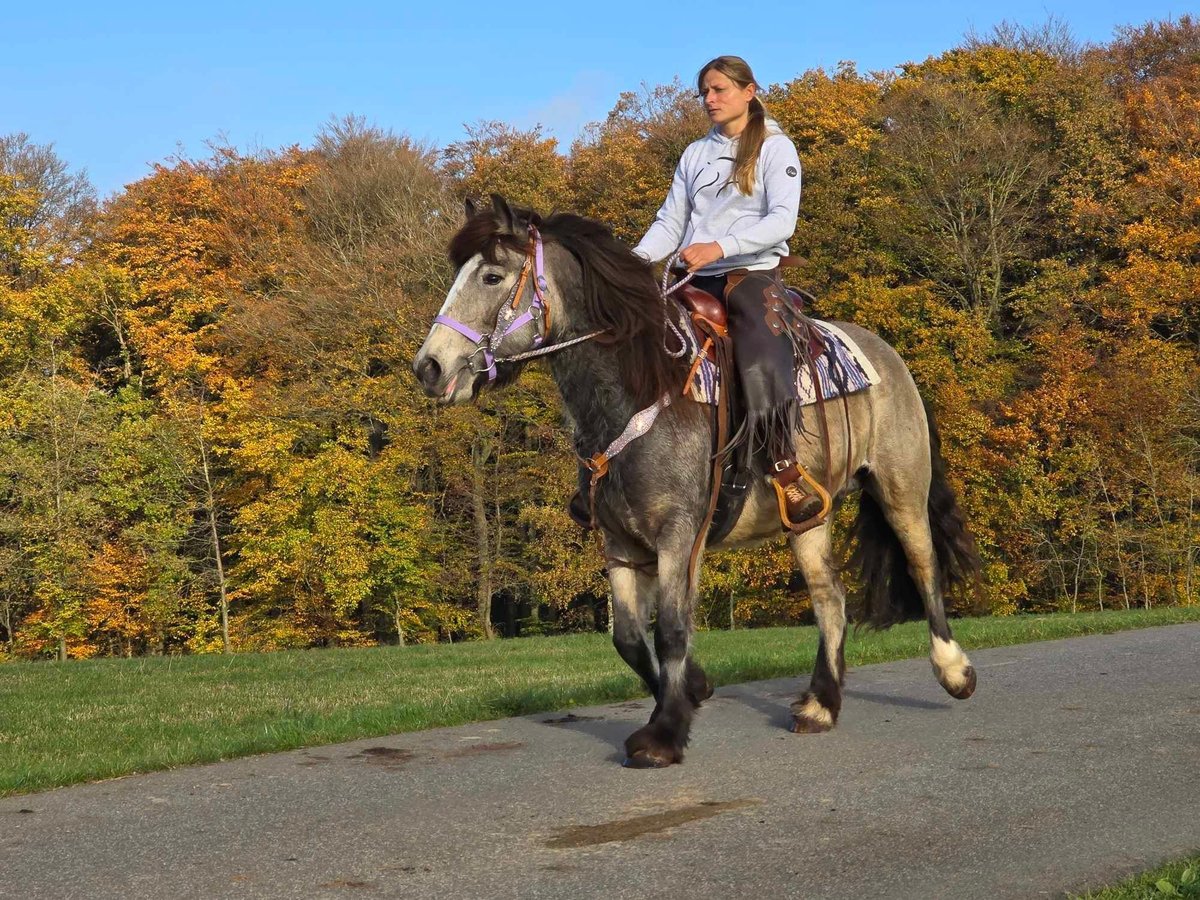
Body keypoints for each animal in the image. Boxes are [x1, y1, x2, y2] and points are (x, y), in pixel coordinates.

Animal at [408, 195, 979, 768]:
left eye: (491, 275)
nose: (429, 367)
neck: (637, 391)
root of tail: (886, 353)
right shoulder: (619, 542)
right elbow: (628, 638)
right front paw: (692, 689)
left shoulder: (681, 534)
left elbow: (671, 630)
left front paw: (663, 734)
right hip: (807, 517)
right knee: (830, 598)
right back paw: (821, 705)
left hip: (900, 488)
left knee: (923, 565)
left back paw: (954, 671)